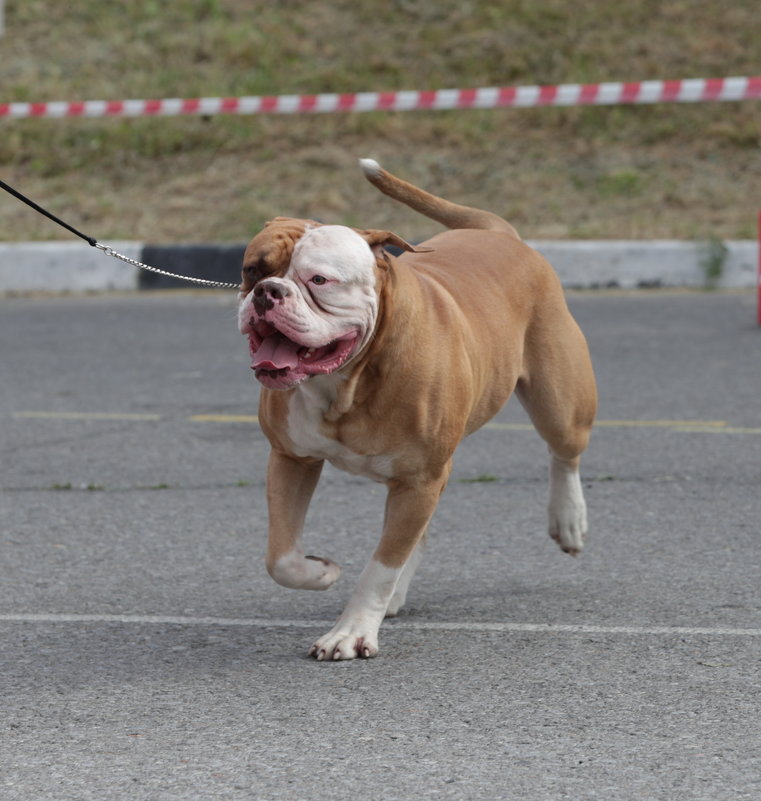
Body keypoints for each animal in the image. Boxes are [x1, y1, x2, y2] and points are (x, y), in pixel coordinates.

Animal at [236, 159, 592, 660]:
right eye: (252, 269)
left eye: (319, 280)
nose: (268, 291)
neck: (348, 379)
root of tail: (497, 232)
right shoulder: (292, 458)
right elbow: (282, 557)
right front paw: (321, 571)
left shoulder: (419, 478)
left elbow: (381, 565)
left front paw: (352, 631)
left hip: (558, 402)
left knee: (564, 453)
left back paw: (569, 520)